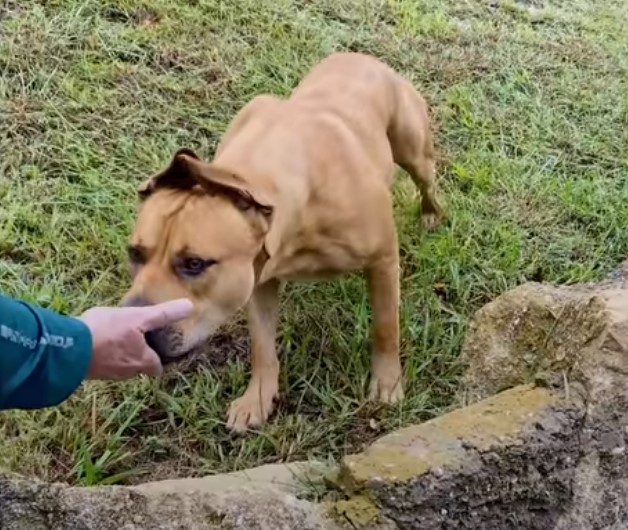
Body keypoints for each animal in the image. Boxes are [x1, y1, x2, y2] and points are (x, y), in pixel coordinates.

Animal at [122, 51, 444, 432]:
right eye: (135, 253)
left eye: (195, 263)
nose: (135, 332)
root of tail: (360, 55)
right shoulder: (257, 279)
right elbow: (262, 347)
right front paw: (258, 398)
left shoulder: (382, 261)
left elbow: (385, 328)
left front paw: (387, 384)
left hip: (413, 148)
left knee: (428, 180)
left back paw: (431, 213)